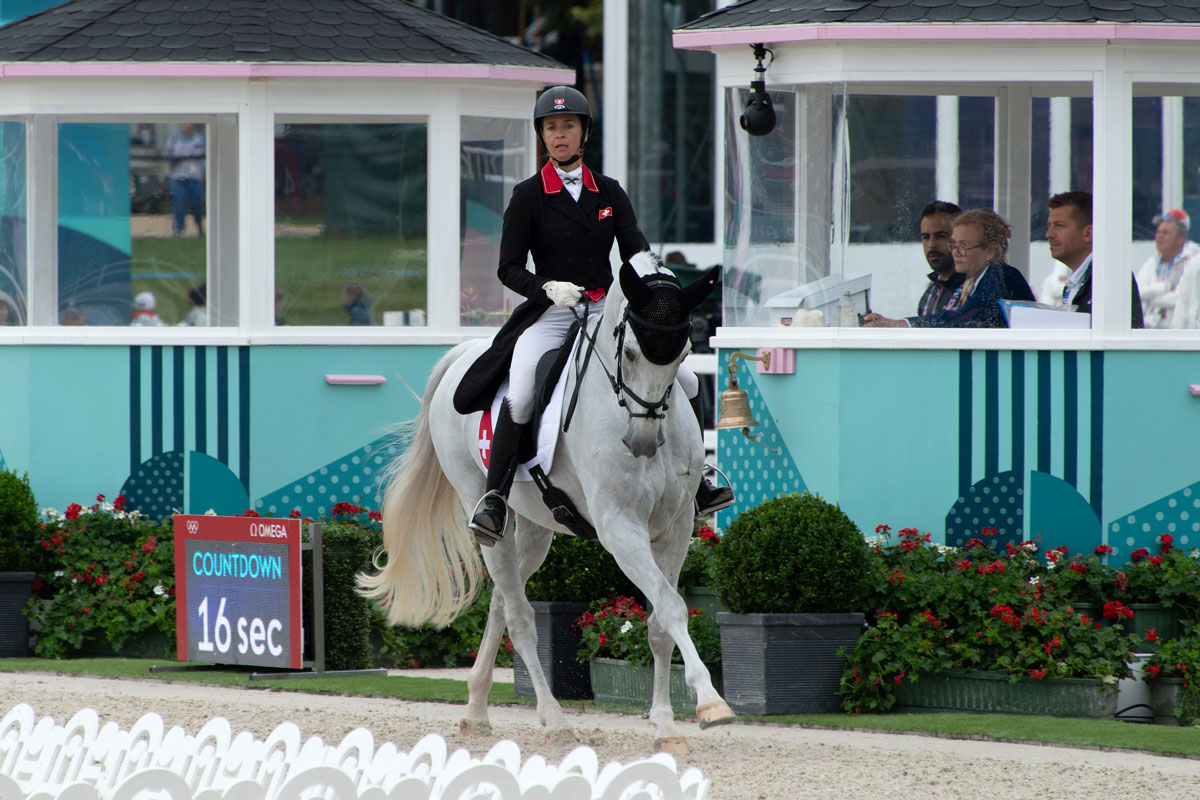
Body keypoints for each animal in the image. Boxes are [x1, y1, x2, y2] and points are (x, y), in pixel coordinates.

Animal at [358, 251, 735, 753]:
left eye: (683, 356)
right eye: (630, 353)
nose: (641, 443)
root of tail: (464, 353)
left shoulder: (675, 529)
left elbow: (660, 620)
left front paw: (666, 728)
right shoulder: (621, 529)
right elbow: (672, 608)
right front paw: (711, 703)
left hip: (536, 526)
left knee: (502, 602)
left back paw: (476, 710)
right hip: (486, 512)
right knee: (519, 616)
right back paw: (554, 720)